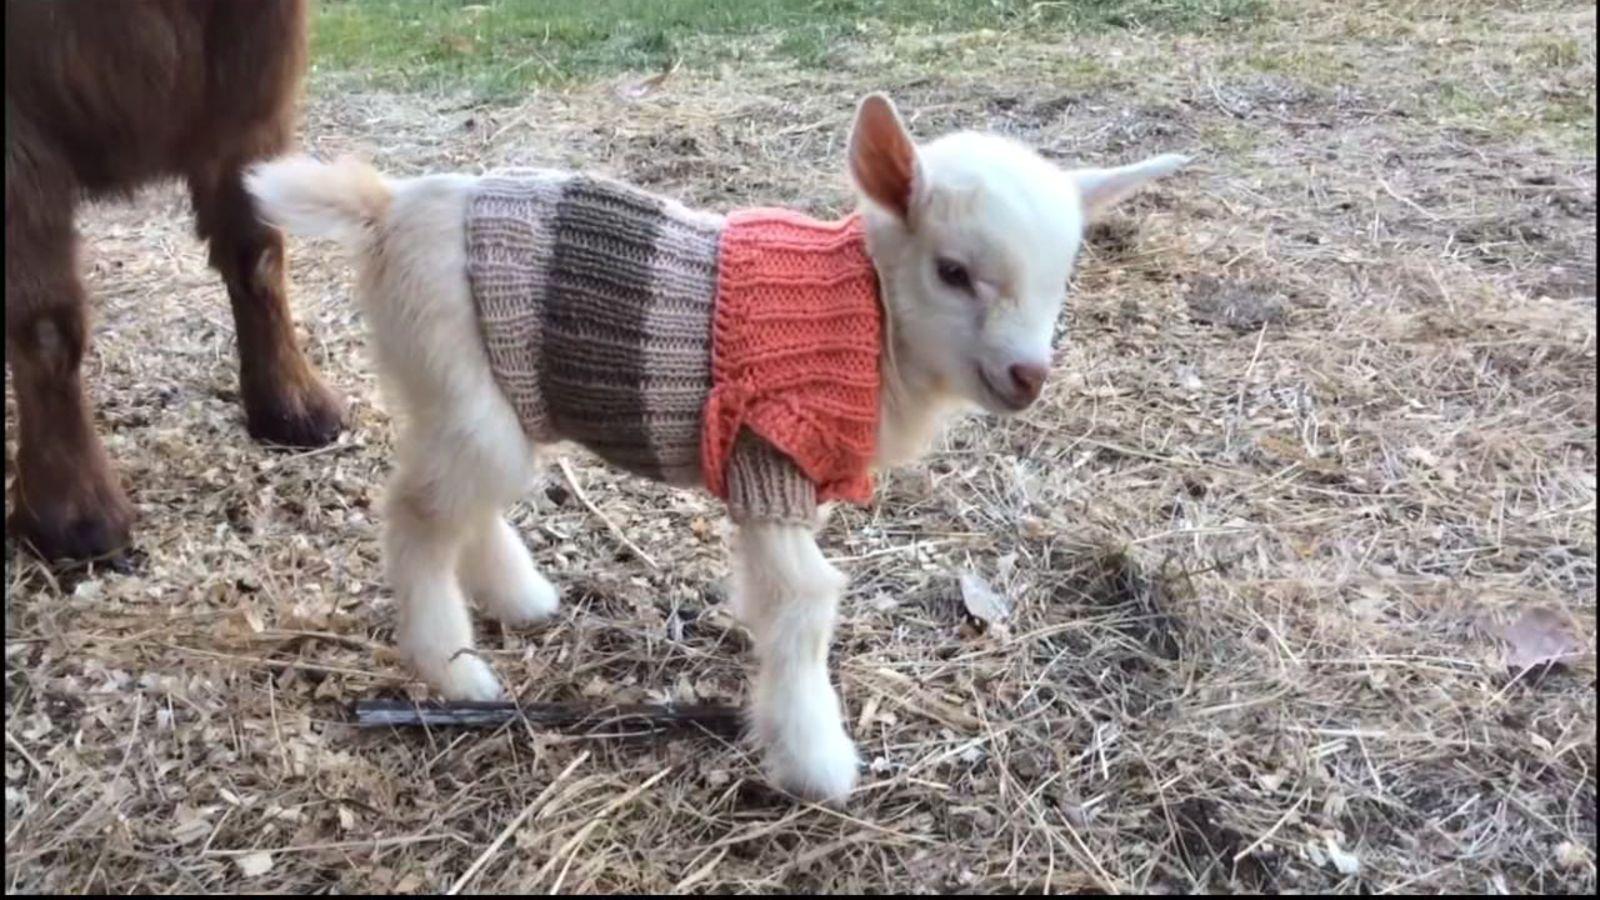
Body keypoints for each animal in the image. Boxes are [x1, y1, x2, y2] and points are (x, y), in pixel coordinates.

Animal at [247, 93, 1188, 803]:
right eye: (953, 272)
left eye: (1059, 279)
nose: (1029, 375)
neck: (867, 314)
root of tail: (383, 206)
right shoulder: (769, 460)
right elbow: (803, 605)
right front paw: (817, 763)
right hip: (459, 383)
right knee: (414, 514)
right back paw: (454, 673)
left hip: (480, 397)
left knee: (462, 504)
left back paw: (521, 600)